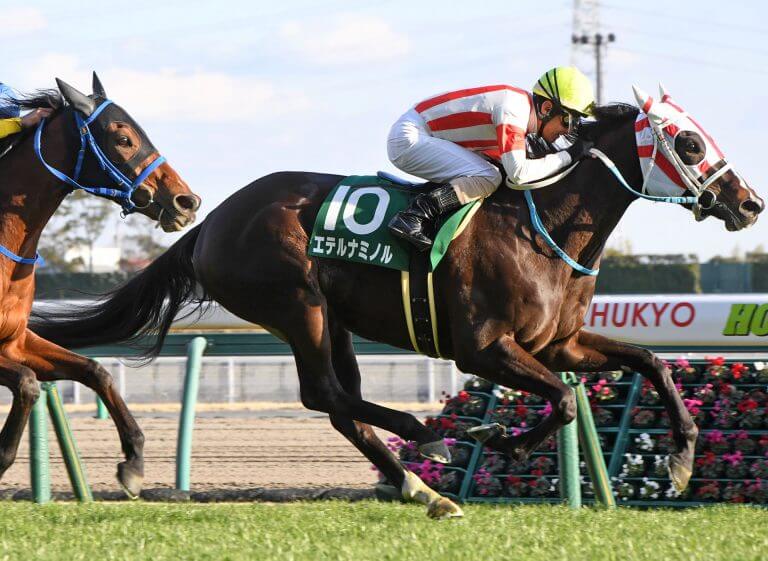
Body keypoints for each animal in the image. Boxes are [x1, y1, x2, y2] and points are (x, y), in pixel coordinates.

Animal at [0, 73, 201, 494]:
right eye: (123, 138)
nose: (186, 201)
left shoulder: (15, 341)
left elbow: (95, 370)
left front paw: (134, 460)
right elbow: (27, 384)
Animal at [34, 93, 760, 516]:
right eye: (690, 142)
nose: (749, 202)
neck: (544, 226)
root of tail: (208, 223)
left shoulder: (559, 342)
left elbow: (649, 362)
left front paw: (681, 459)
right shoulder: (485, 348)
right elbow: (557, 398)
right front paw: (499, 437)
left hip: (334, 319)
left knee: (339, 404)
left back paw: (421, 485)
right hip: (297, 303)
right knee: (325, 393)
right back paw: (428, 439)